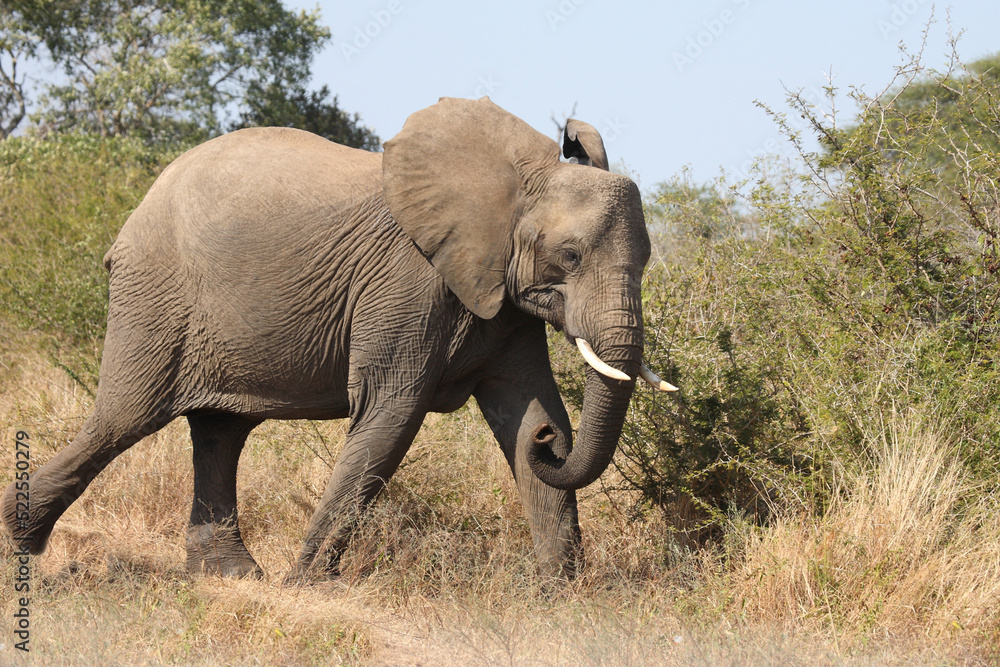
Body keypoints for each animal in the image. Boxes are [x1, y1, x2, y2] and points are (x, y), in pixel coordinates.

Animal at [1, 96, 672, 580]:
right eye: (570, 255)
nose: (550, 447)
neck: (519, 180)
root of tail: (138, 209)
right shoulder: (409, 282)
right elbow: (390, 412)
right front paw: (307, 586)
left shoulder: (501, 299)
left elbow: (525, 402)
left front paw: (562, 592)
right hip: (156, 295)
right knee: (123, 418)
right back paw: (19, 544)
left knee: (219, 431)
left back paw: (231, 577)